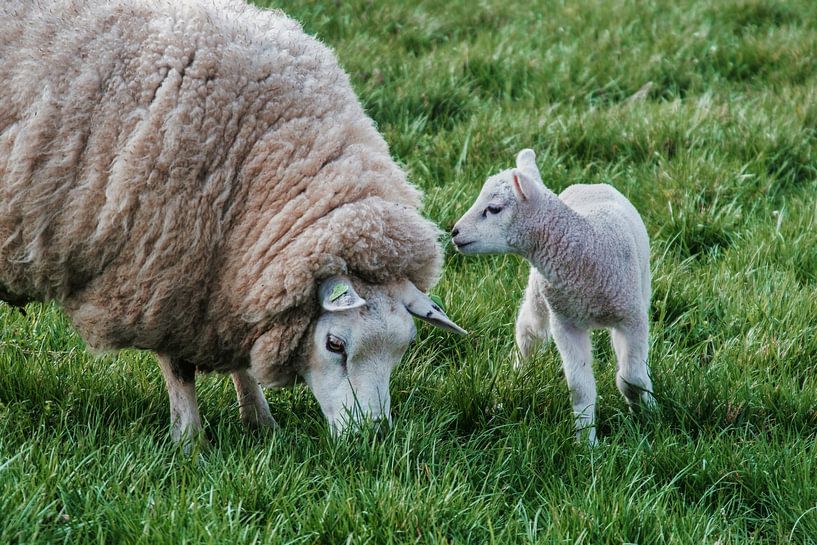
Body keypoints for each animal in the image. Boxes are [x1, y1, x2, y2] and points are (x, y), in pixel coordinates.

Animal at [0, 0, 466, 444]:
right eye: (335, 344)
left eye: (404, 347)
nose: (370, 437)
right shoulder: (165, 275)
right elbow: (180, 368)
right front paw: (191, 443)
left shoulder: (223, 276)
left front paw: (261, 423)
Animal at [452, 148, 656, 442]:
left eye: (494, 208)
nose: (454, 232)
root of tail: (588, 185)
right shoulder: (566, 323)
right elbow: (580, 388)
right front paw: (586, 443)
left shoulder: (632, 318)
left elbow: (631, 378)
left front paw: (648, 414)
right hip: (540, 295)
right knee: (529, 332)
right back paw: (517, 376)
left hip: (638, 291)